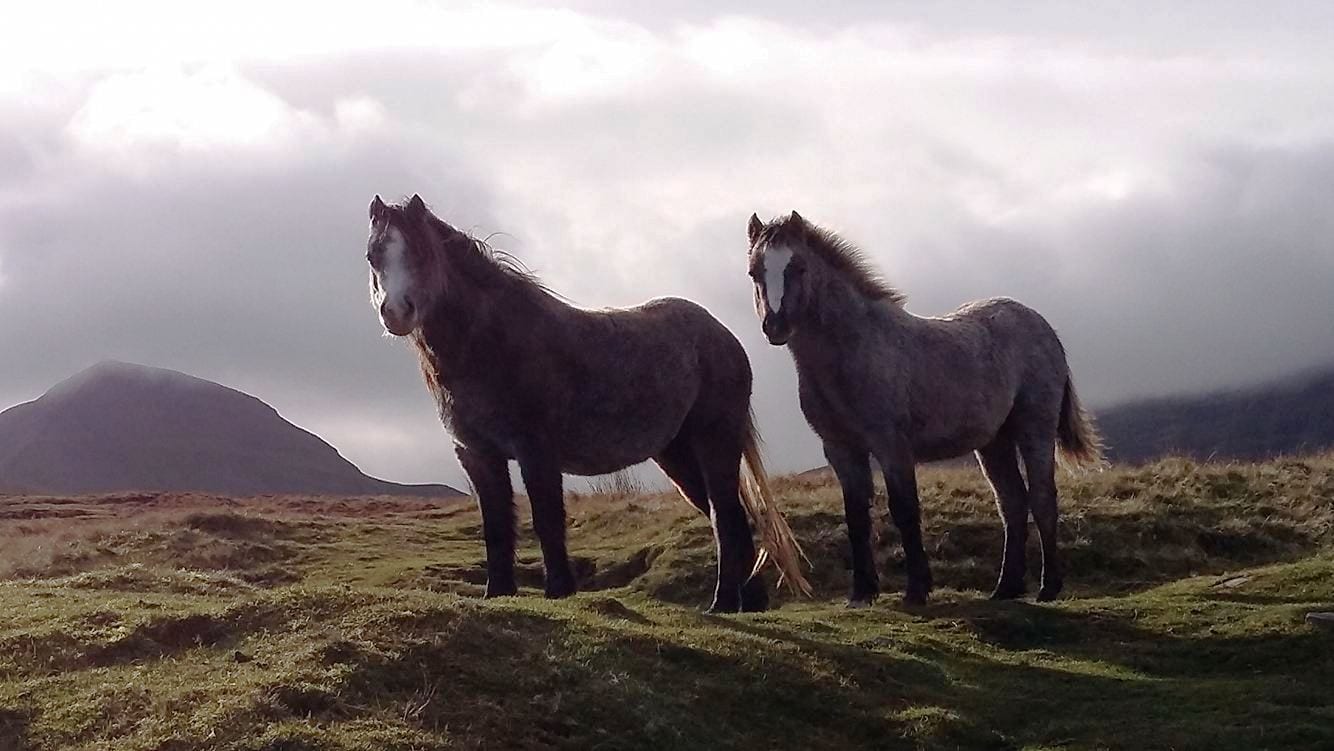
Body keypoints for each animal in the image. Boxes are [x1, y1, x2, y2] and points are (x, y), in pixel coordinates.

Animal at [364, 194, 809, 612]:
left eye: (421, 253)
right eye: (373, 256)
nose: (396, 312)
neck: (490, 342)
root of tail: (724, 337)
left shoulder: (536, 451)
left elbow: (546, 520)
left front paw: (559, 591)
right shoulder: (477, 454)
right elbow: (495, 527)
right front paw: (498, 592)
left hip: (714, 442)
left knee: (726, 517)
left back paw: (723, 602)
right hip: (677, 454)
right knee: (732, 518)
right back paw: (748, 602)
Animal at [745, 211, 1102, 606]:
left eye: (799, 267)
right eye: (754, 272)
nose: (775, 326)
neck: (854, 348)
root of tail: (1042, 326)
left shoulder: (891, 447)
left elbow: (905, 510)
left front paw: (917, 589)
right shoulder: (841, 449)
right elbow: (856, 518)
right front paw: (862, 593)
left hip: (1034, 429)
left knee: (1041, 498)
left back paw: (1048, 586)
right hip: (994, 442)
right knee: (1011, 502)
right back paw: (1005, 588)